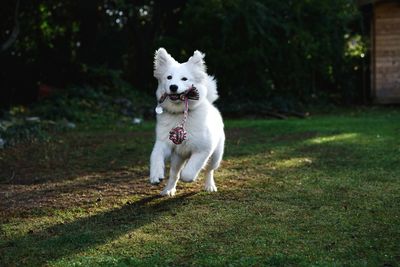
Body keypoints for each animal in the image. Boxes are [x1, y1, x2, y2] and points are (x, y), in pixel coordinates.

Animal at [150, 48, 225, 197]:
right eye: (169, 77)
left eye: (184, 79)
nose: (173, 87)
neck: (180, 114)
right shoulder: (163, 142)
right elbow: (155, 156)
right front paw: (156, 175)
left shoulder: (203, 149)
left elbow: (189, 172)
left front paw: (191, 178)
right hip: (177, 158)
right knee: (174, 174)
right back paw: (168, 190)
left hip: (216, 156)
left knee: (209, 170)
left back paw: (210, 186)